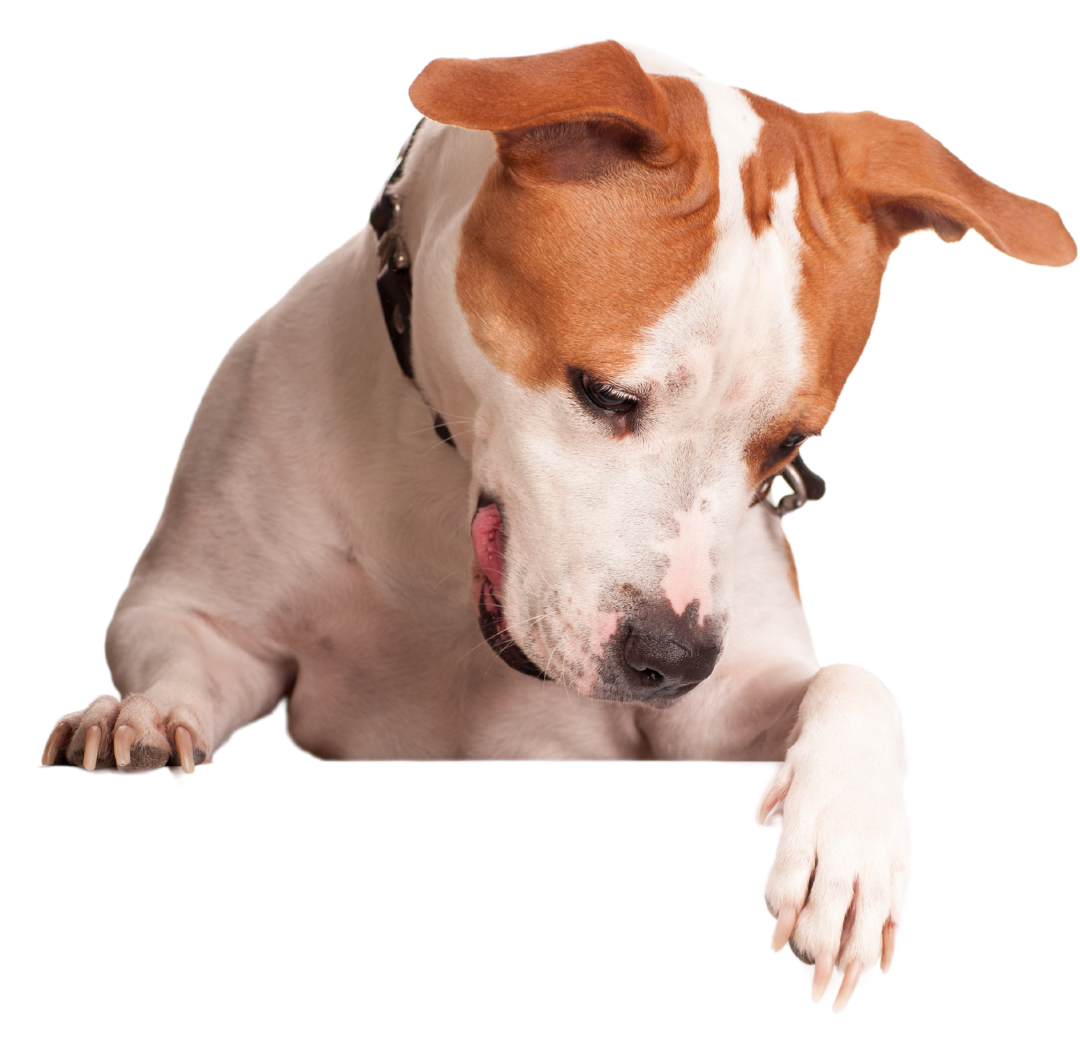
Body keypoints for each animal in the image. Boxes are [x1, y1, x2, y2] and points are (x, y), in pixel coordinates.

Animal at [39, 38, 1071, 1011]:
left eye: (786, 442)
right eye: (605, 393)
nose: (672, 660)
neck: (440, 490)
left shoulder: (708, 723)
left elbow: (856, 686)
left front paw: (848, 853)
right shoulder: (197, 613)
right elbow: (178, 659)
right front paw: (131, 715)